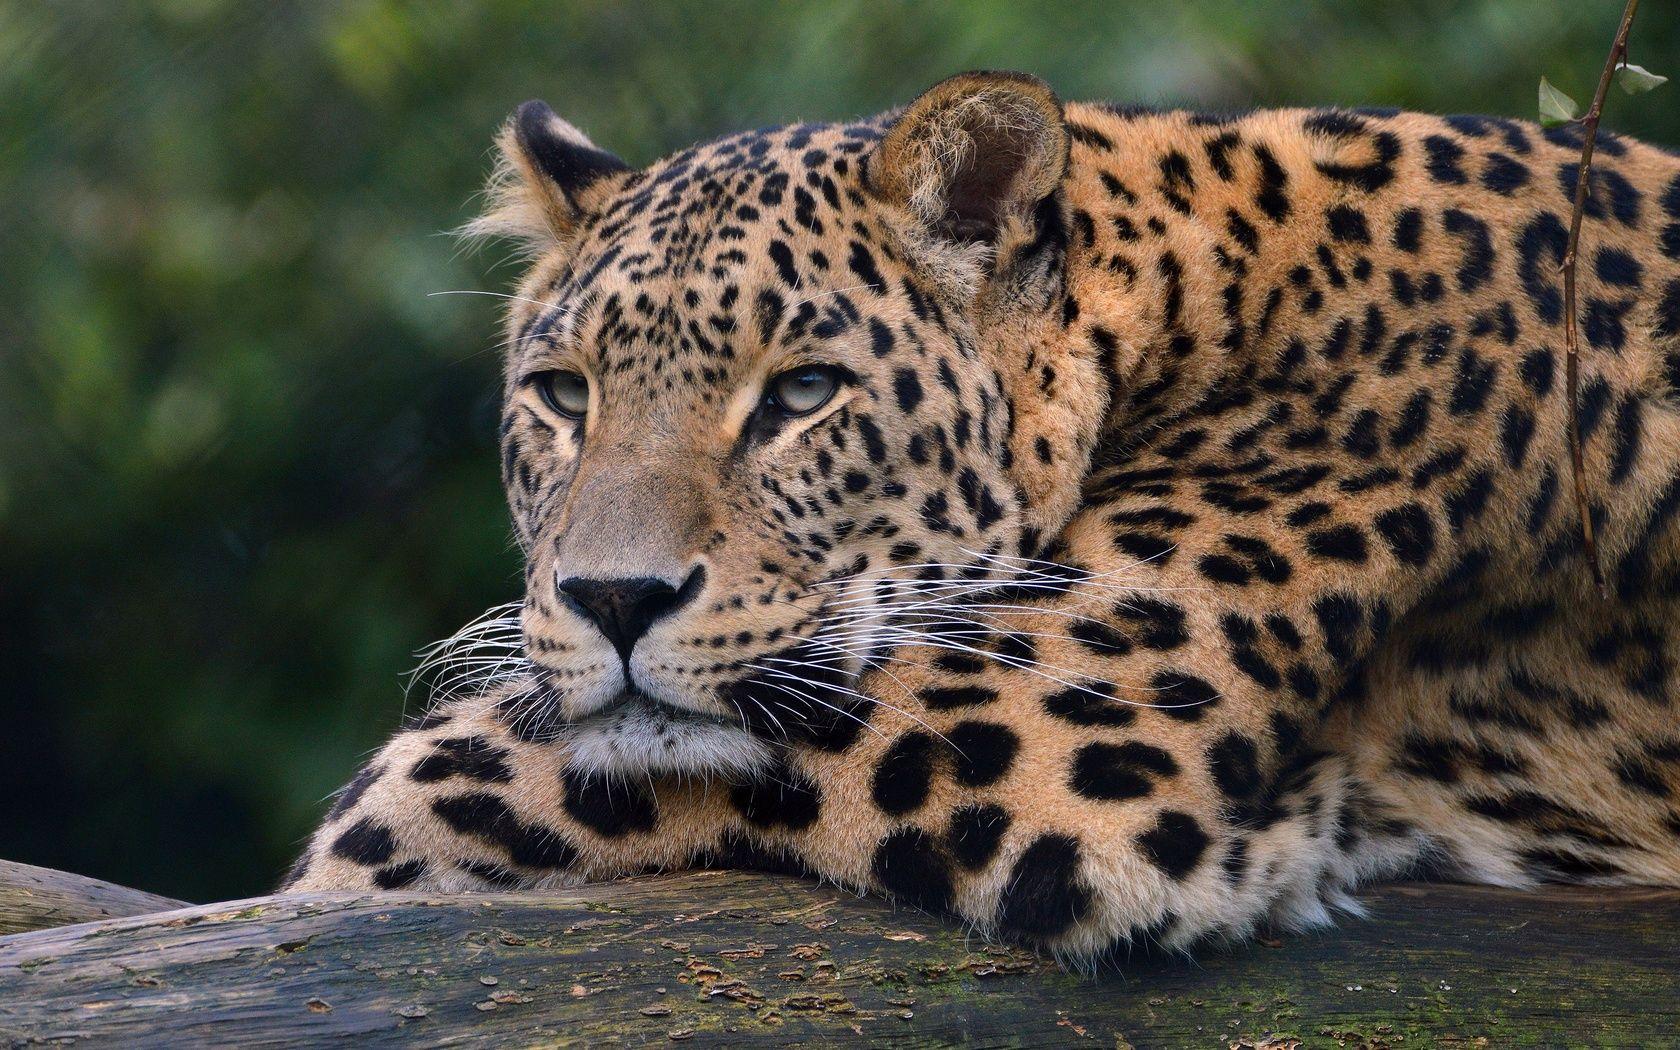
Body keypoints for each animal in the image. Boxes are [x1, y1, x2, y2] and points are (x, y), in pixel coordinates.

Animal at [284, 70, 1680, 963]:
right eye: (565, 396)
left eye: (802, 394)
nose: (613, 601)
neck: (1195, 295)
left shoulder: (1044, 735)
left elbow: (418, 793)